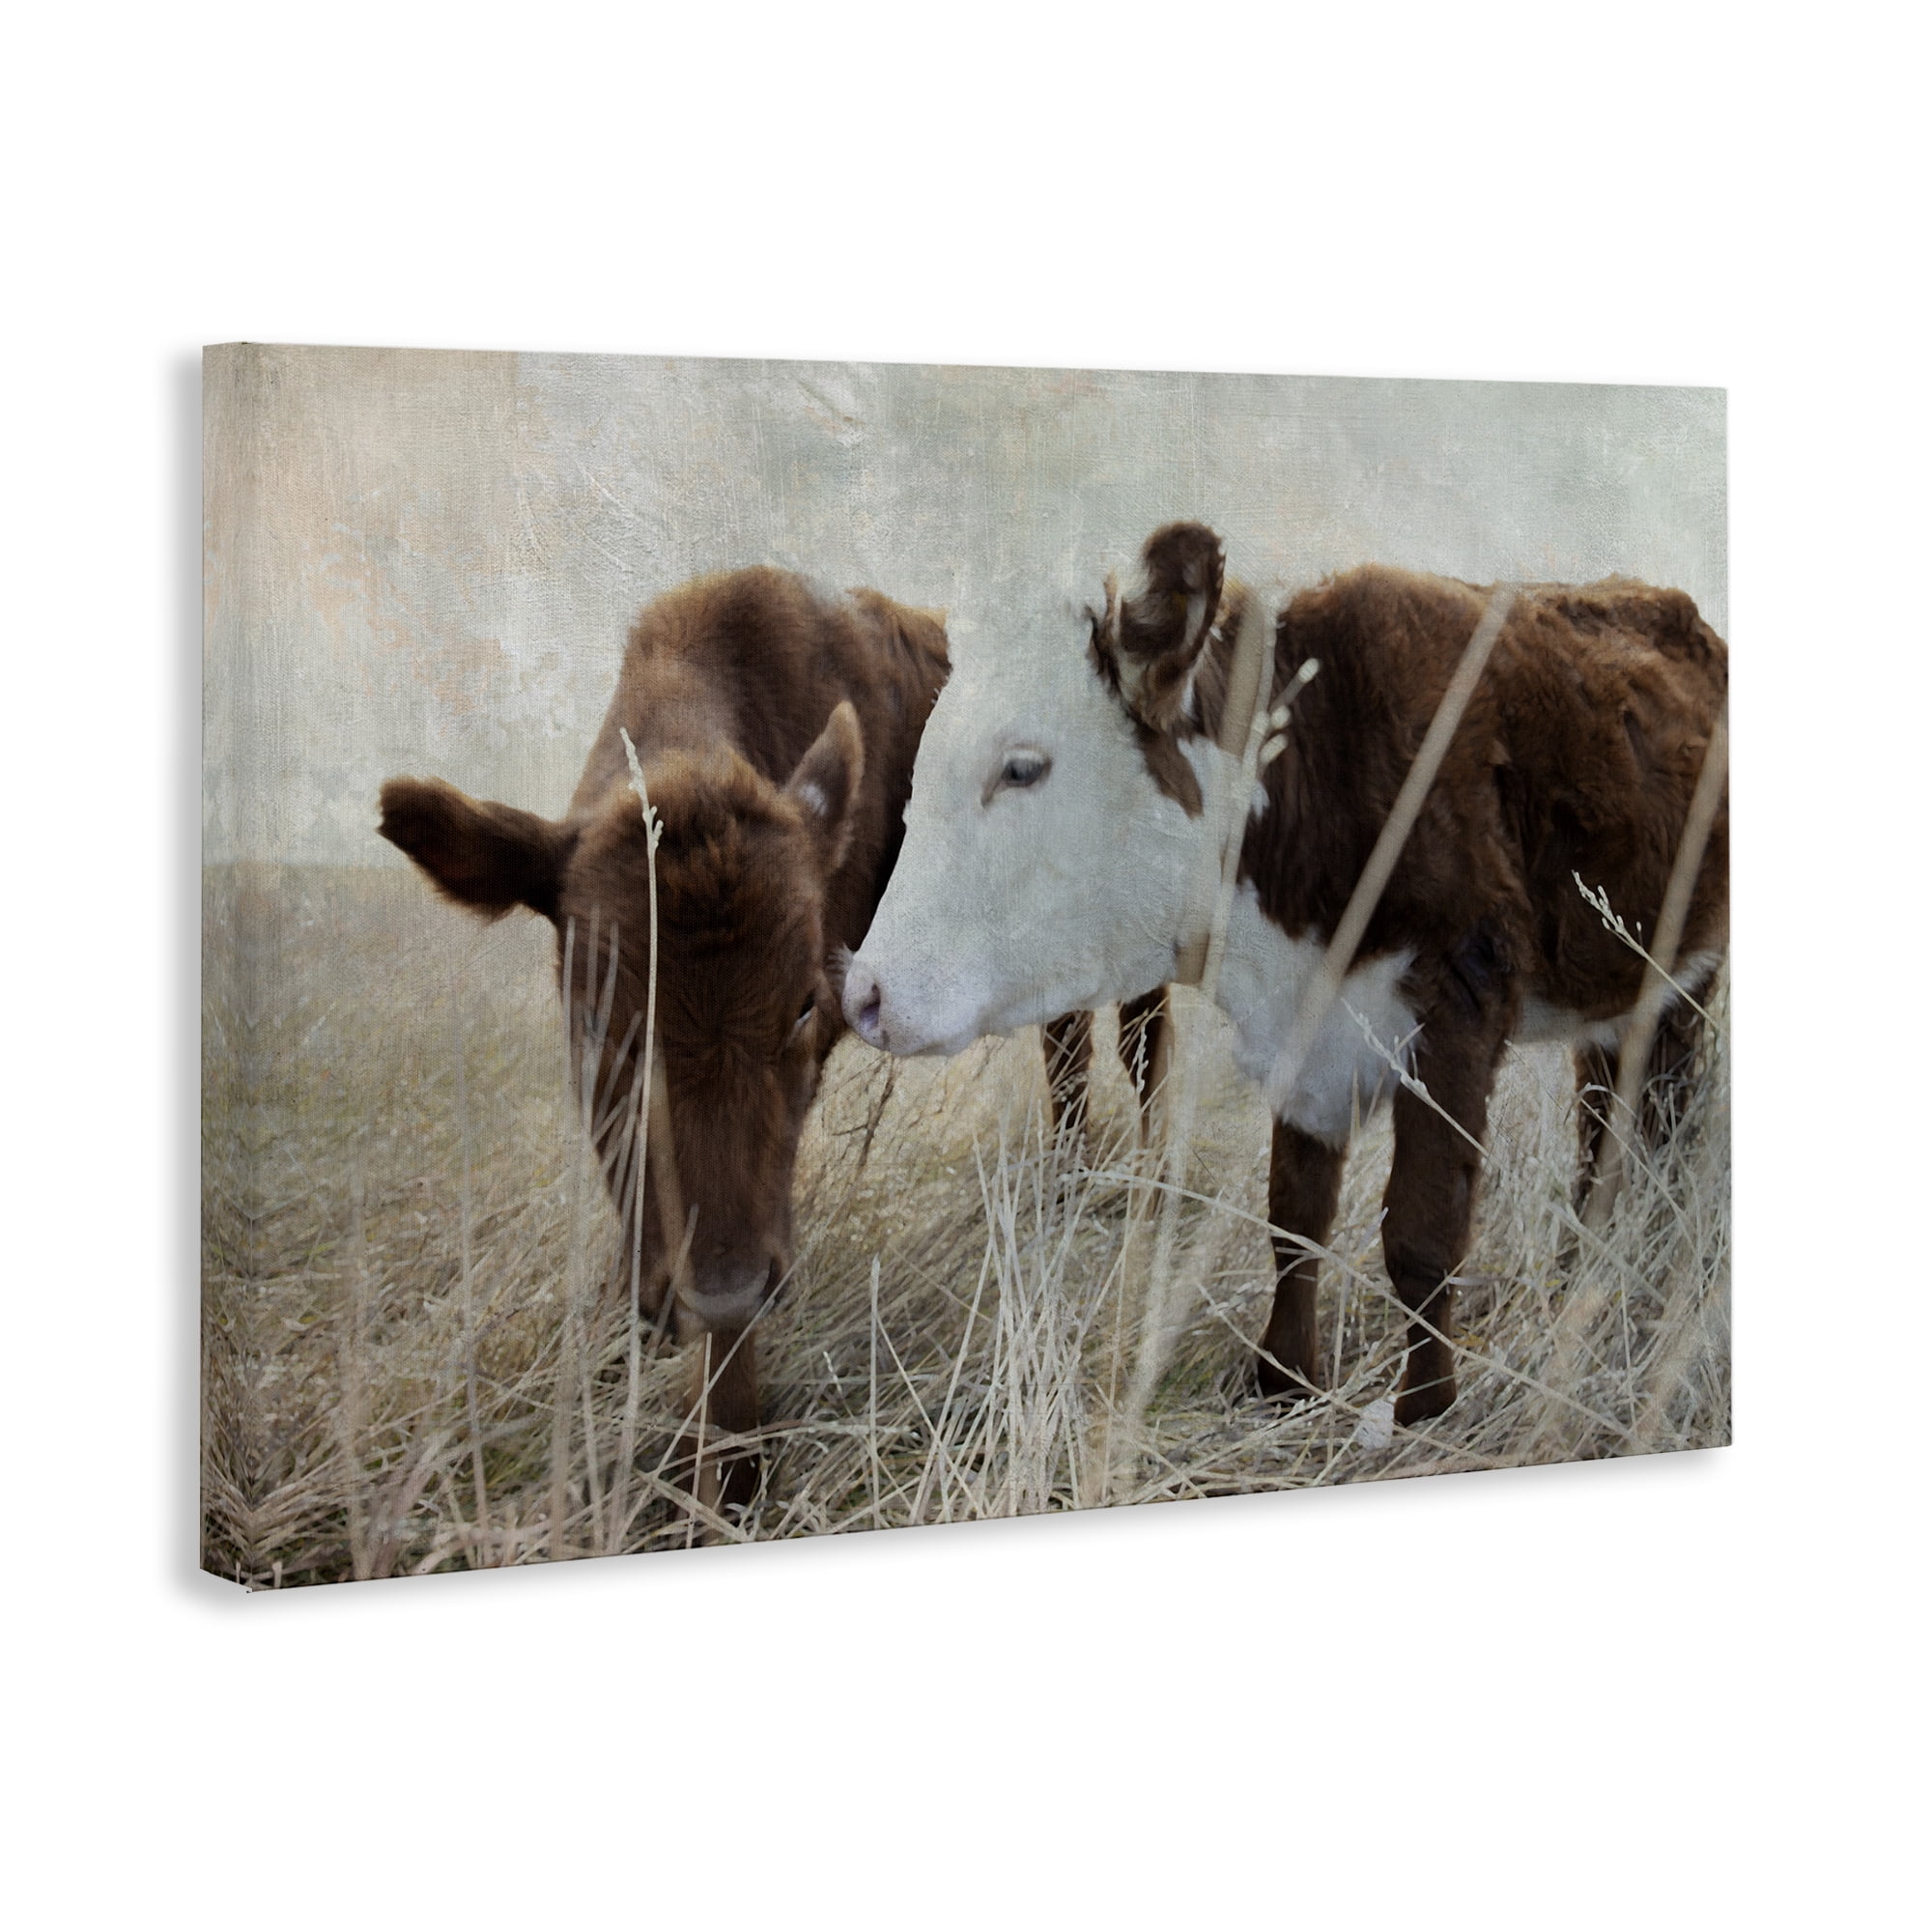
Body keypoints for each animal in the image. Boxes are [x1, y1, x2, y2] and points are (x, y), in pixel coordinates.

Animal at [841, 522, 1729, 1426]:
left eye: (1022, 767)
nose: (866, 994)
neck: (1316, 763)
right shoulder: (1307, 1034)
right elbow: (1295, 1215)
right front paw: (1283, 1380)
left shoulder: (1459, 999)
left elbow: (1423, 1231)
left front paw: (1424, 1410)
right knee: (1604, 1126)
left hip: (1685, 984)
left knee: (1667, 1123)